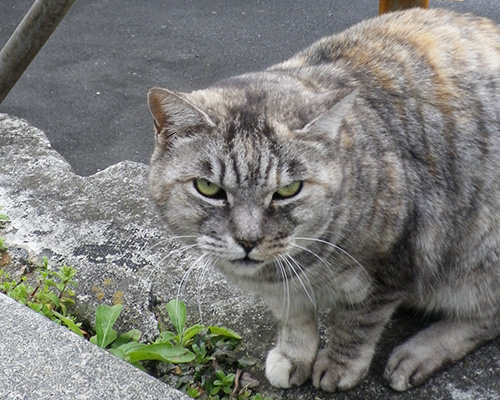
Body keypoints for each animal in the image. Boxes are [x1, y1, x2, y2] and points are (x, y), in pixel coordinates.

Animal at [146, 7, 500, 392]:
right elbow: (294, 318)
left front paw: (339, 364)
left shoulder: (389, 265)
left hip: (478, 254)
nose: (248, 240)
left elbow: (355, 324)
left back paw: (418, 353)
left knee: (485, 317)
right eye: (209, 188)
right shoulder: (284, 291)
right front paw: (294, 354)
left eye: (288, 190)